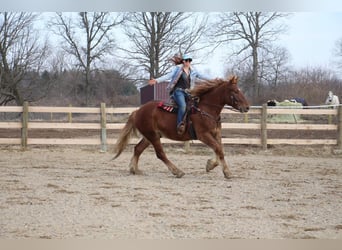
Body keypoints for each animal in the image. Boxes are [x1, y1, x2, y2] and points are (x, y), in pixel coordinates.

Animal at [113, 75, 250, 179]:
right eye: (235, 91)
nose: (247, 107)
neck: (206, 110)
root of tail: (138, 111)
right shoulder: (203, 135)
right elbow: (218, 149)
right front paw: (227, 172)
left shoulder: (216, 134)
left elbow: (220, 149)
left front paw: (210, 165)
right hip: (153, 136)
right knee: (160, 154)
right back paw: (177, 171)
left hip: (150, 136)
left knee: (138, 149)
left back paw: (134, 169)